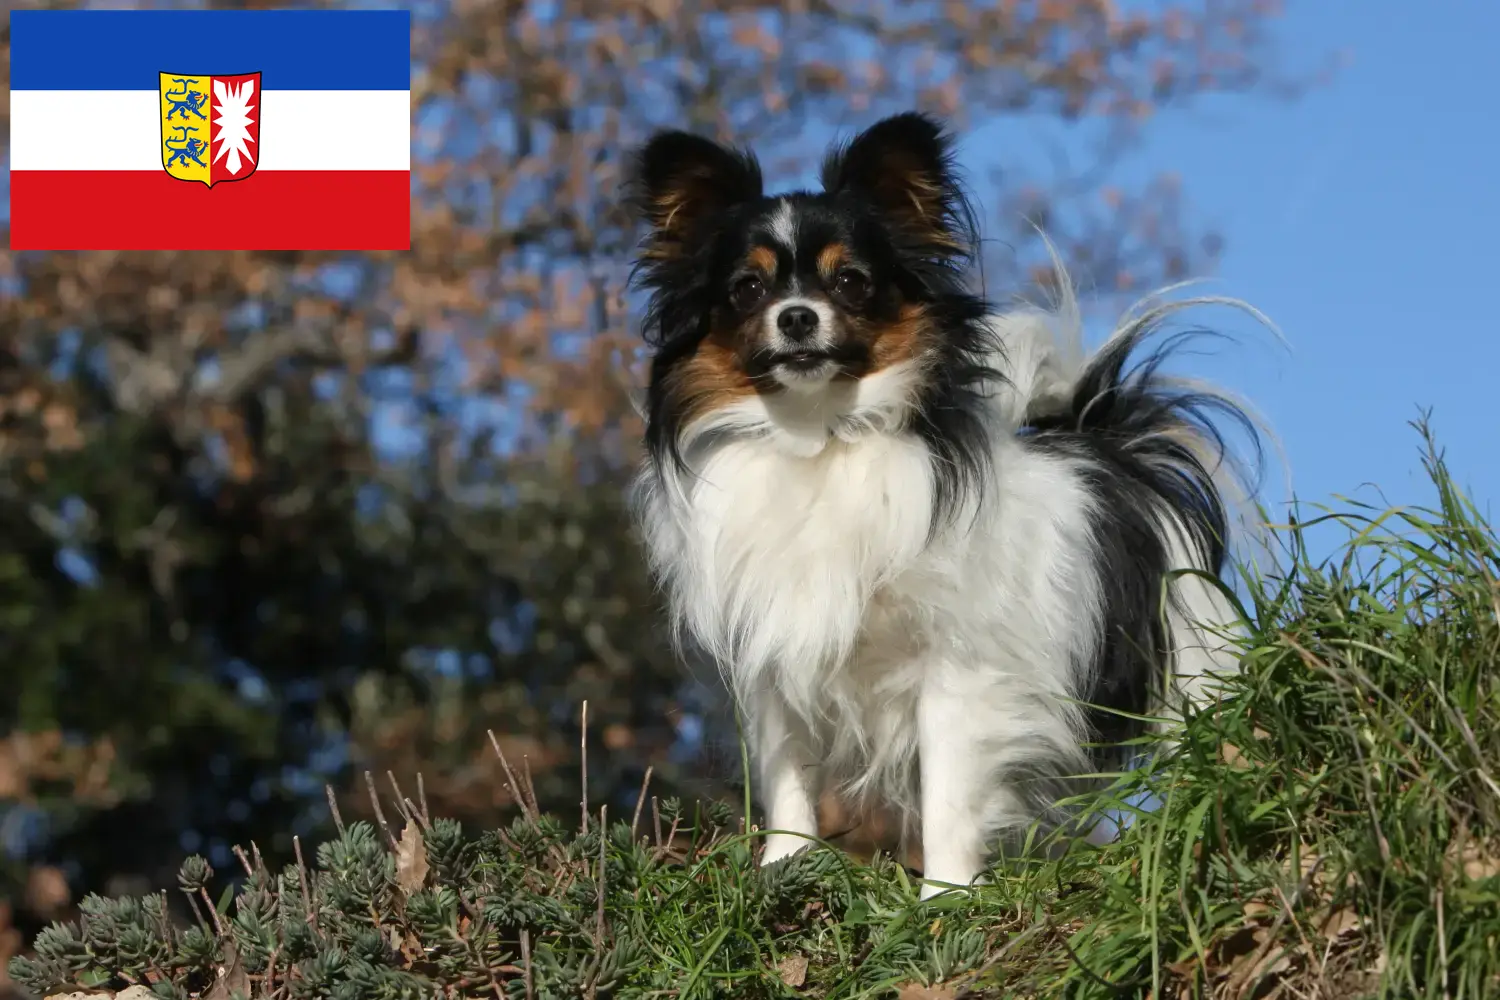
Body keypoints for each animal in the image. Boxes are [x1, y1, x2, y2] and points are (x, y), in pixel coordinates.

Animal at [627, 109, 1260, 899]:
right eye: (746, 289)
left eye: (852, 282)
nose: (797, 317)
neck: (822, 437)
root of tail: (1113, 448)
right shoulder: (776, 664)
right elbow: (788, 781)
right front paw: (782, 870)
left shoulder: (956, 671)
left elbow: (949, 793)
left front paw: (945, 898)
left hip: (1194, 671)